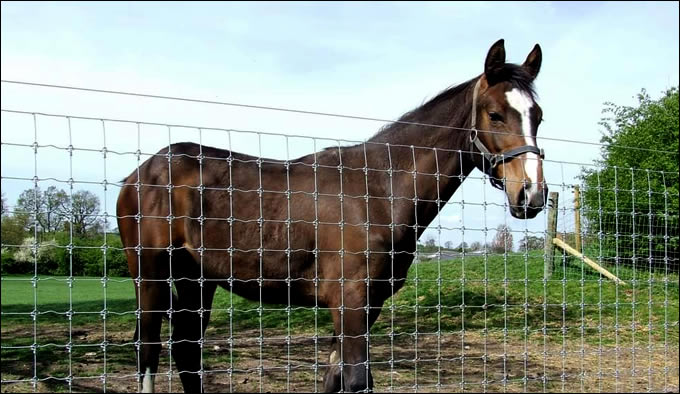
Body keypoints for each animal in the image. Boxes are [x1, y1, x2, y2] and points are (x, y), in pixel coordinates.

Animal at [117, 38, 548, 392]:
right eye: (494, 114)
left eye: (538, 116)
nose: (531, 194)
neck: (379, 188)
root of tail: (140, 173)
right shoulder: (351, 300)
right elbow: (357, 381)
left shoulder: (368, 304)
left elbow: (337, 377)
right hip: (149, 274)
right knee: (148, 349)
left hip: (196, 280)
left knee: (186, 349)